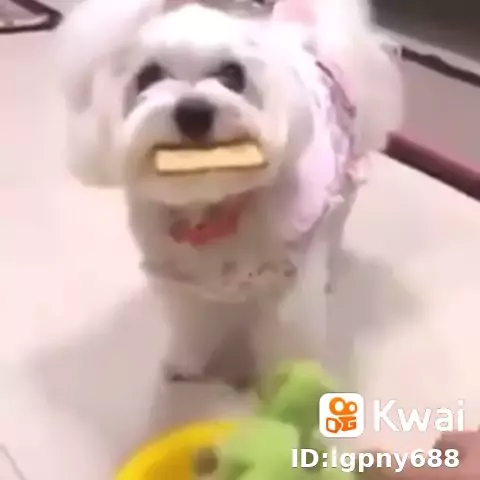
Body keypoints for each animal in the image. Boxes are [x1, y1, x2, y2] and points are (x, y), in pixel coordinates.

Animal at [57, 0, 402, 388]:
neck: (213, 206)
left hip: (344, 185)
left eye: (232, 74)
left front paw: (284, 381)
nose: (193, 112)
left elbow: (287, 336)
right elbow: (190, 326)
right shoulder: (180, 280)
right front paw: (184, 364)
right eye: (148, 76)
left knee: (334, 229)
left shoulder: (289, 283)